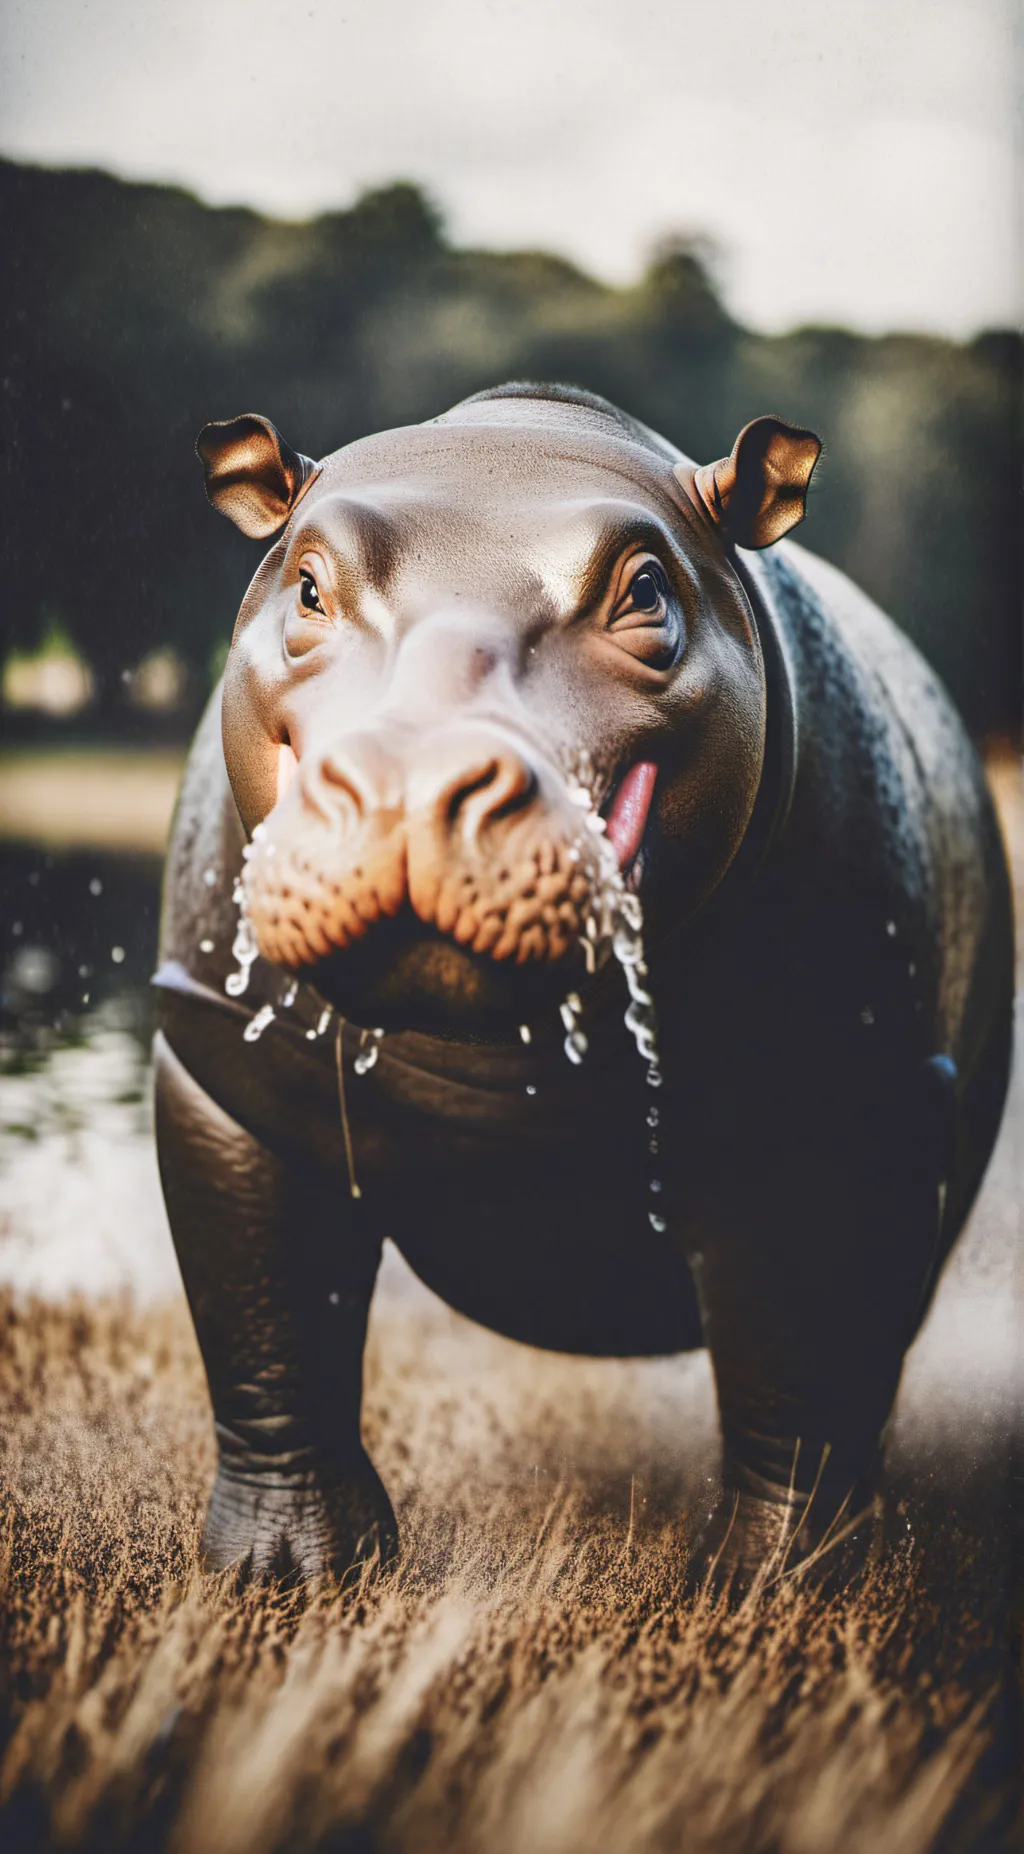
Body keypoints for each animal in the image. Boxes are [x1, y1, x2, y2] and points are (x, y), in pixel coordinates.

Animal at [154, 383, 1013, 1587]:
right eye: (308, 586)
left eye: (646, 590)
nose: (412, 779)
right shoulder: (228, 1059)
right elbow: (267, 1317)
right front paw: (282, 1579)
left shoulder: (841, 1105)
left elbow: (803, 1355)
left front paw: (764, 1593)